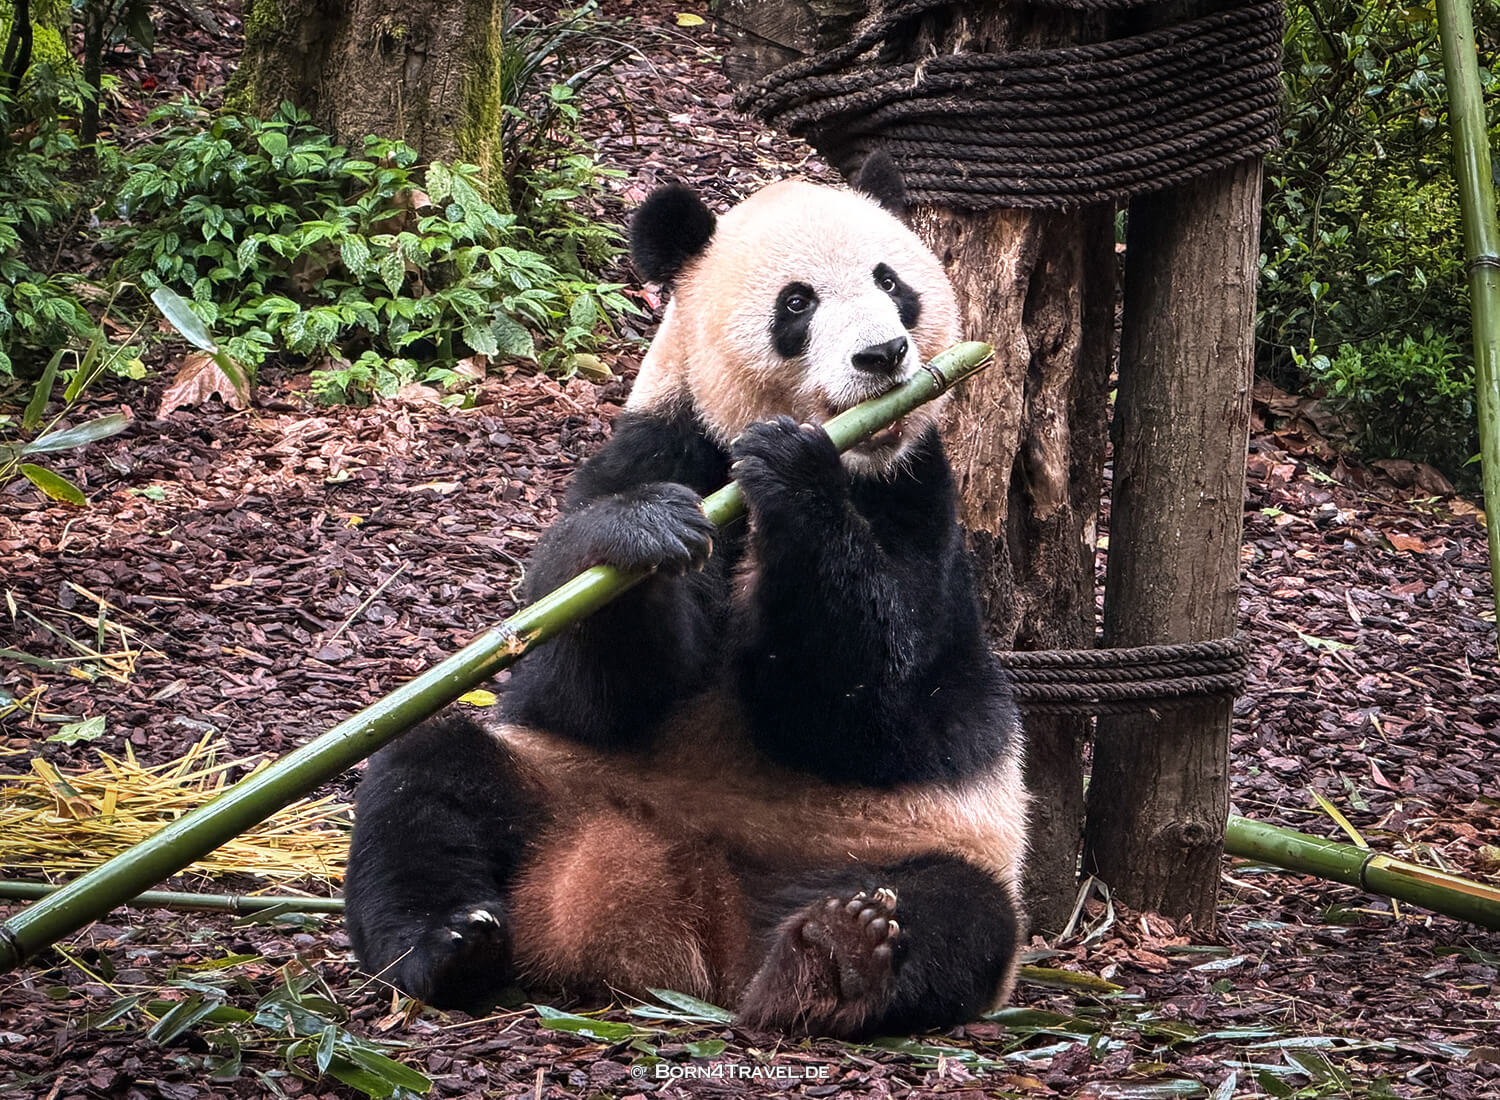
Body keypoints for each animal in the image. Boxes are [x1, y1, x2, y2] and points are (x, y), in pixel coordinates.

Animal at [343, 156, 1029, 1039]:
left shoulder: (918, 496)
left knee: (958, 915)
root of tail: (680, 924)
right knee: (422, 787)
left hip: (893, 842)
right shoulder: (665, 440)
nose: (883, 354)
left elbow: (881, 702)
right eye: (797, 303)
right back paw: (452, 945)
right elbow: (586, 685)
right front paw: (645, 531)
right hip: (559, 786)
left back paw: (831, 962)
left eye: (892, 282)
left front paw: (794, 476)